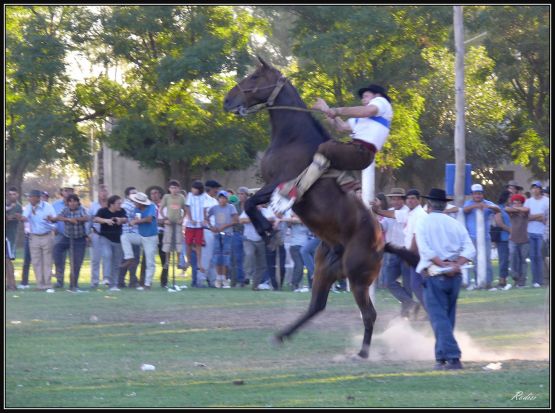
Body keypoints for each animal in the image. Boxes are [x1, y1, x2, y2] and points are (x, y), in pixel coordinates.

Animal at [224, 57, 384, 358]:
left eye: (254, 77)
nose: (227, 100)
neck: (292, 138)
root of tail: (382, 241)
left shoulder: (280, 185)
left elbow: (250, 202)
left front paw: (268, 232)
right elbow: (250, 203)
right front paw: (267, 231)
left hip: (358, 278)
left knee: (369, 314)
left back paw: (363, 352)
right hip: (324, 270)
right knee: (316, 306)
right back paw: (282, 335)